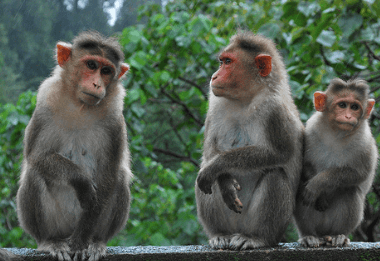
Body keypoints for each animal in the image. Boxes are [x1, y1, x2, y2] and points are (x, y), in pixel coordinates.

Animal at [16, 31, 132, 260]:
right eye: (91, 65)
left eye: (106, 71)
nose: (97, 84)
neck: (81, 107)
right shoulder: (45, 104)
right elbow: (37, 156)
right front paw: (82, 182)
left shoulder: (114, 122)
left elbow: (108, 173)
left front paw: (81, 241)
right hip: (56, 224)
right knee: (35, 172)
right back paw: (50, 241)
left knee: (120, 178)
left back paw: (96, 241)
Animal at [196, 31, 302, 250]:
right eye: (222, 61)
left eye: (228, 62)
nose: (214, 76)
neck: (245, 99)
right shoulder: (215, 103)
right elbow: (210, 150)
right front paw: (225, 181)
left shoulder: (274, 110)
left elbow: (279, 154)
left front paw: (219, 165)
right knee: (203, 177)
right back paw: (220, 234)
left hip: (273, 226)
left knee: (274, 175)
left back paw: (257, 237)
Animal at [294, 77, 378, 246]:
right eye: (342, 105)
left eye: (354, 107)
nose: (348, 116)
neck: (337, 133)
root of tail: (324, 233)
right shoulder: (311, 130)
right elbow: (305, 166)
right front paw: (319, 194)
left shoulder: (365, 142)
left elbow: (359, 173)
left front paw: (318, 184)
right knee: (301, 186)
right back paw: (309, 236)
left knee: (350, 190)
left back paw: (338, 235)